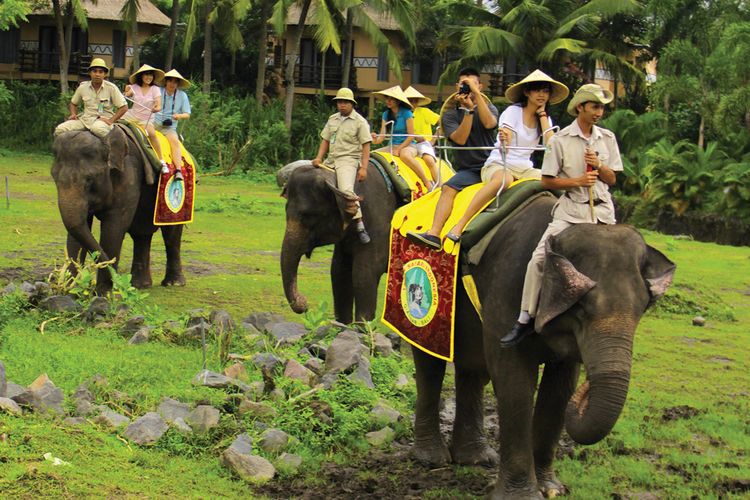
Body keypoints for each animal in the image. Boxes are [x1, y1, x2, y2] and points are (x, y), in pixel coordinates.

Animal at [51, 128, 185, 294]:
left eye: (89, 179)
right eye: (54, 178)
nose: (119, 282)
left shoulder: (129, 175)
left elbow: (114, 227)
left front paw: (104, 293)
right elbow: (79, 227)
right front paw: (71, 290)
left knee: (171, 233)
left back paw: (174, 283)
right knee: (141, 234)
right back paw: (140, 285)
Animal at [278, 159, 398, 324]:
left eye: (308, 216)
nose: (304, 304)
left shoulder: (380, 225)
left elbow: (364, 274)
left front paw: (363, 327)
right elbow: (338, 272)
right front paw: (342, 324)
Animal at [410, 194, 675, 498]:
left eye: (643, 308)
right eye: (580, 307)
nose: (588, 390)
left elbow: (560, 389)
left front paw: (551, 489)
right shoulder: (508, 287)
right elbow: (514, 382)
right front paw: (523, 495)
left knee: (473, 368)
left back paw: (476, 459)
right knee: (430, 363)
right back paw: (432, 459)